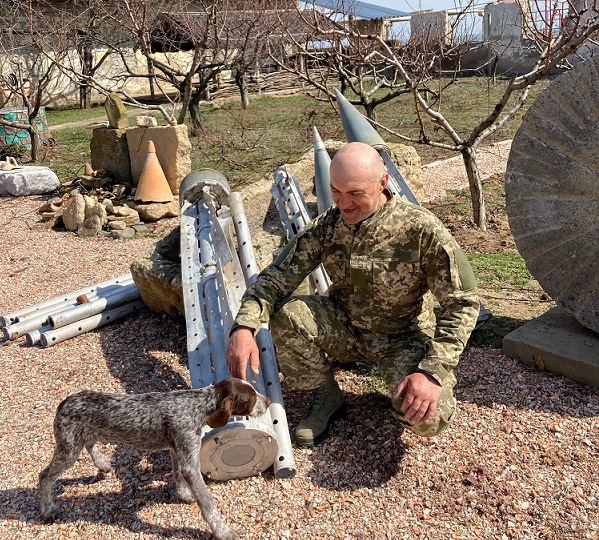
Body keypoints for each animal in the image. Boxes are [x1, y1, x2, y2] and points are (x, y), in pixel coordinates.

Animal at [38, 378, 270, 540]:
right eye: (250, 399)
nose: (268, 402)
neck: (199, 404)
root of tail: (63, 403)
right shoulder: (189, 460)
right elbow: (207, 502)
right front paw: (222, 530)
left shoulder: (177, 450)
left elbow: (178, 476)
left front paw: (183, 494)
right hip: (69, 449)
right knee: (44, 476)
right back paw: (47, 509)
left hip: (82, 438)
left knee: (89, 445)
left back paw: (102, 465)